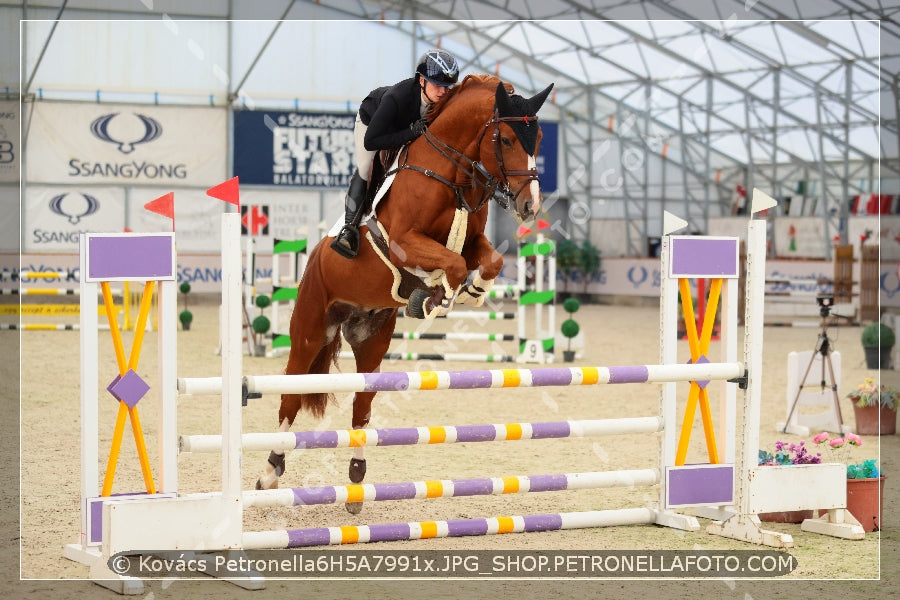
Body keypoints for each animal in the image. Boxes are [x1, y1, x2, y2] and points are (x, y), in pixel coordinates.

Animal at [255, 74, 556, 510]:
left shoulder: (474, 241)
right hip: (309, 332)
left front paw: (468, 291)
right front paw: (435, 295)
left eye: (539, 139)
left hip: (372, 341)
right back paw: (269, 472)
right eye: (508, 139)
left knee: (361, 408)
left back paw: (356, 483)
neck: (450, 173)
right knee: (290, 397)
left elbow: (488, 262)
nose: (530, 206)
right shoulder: (404, 242)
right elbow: (451, 264)